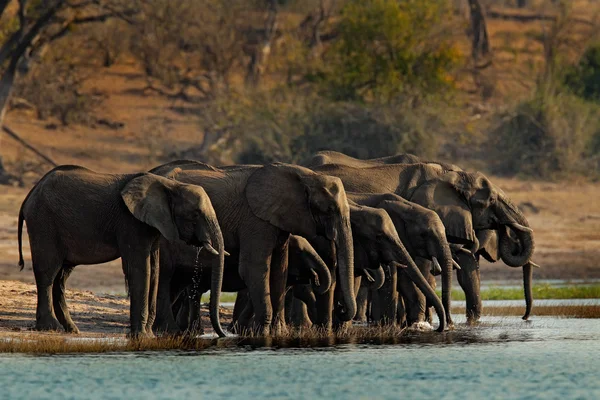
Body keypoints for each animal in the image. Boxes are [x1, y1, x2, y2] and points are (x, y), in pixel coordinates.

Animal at [17, 164, 227, 336]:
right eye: (196, 214)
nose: (223, 334)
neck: (171, 186)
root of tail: (29, 194)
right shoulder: (131, 222)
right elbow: (141, 269)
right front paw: (141, 336)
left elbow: (154, 270)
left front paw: (148, 335)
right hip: (43, 223)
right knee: (48, 272)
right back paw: (51, 328)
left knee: (61, 277)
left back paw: (71, 330)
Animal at [149, 159, 356, 334]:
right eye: (329, 210)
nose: (341, 308)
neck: (305, 175)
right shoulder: (255, 220)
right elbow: (254, 268)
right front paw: (262, 333)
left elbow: (279, 270)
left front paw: (278, 332)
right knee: (166, 276)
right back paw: (169, 331)